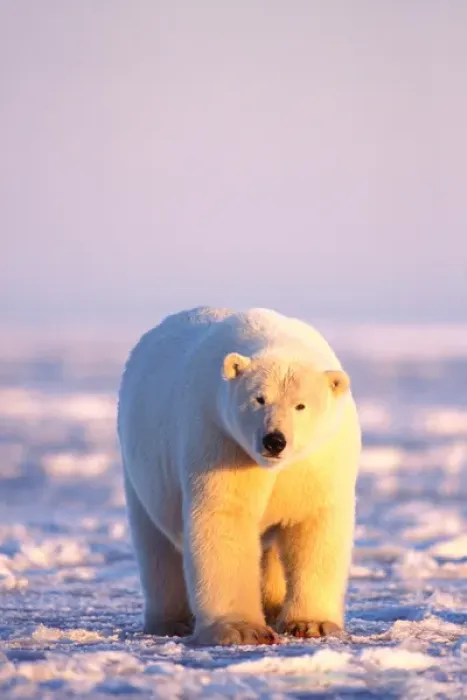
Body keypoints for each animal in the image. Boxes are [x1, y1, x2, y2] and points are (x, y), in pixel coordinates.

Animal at [117, 306, 361, 646]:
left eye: (301, 405)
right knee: (157, 548)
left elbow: (314, 524)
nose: (274, 440)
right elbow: (225, 517)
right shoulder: (221, 438)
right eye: (259, 398)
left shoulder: (320, 459)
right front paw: (242, 629)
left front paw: (312, 624)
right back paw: (170, 621)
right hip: (143, 473)